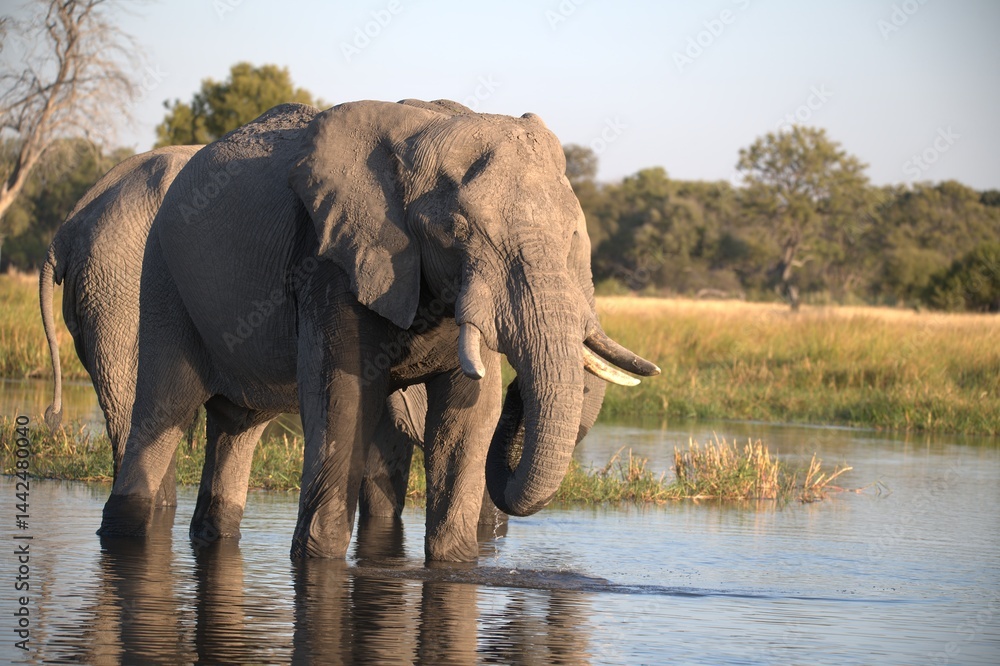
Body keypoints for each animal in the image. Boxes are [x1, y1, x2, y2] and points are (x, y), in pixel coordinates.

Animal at [99, 98, 658, 561]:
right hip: (163, 275)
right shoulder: (331, 262)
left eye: (572, 236)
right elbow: (343, 402)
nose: (521, 389)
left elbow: (469, 414)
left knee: (239, 423)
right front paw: (318, 560)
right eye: (455, 232)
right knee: (164, 409)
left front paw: (457, 564)